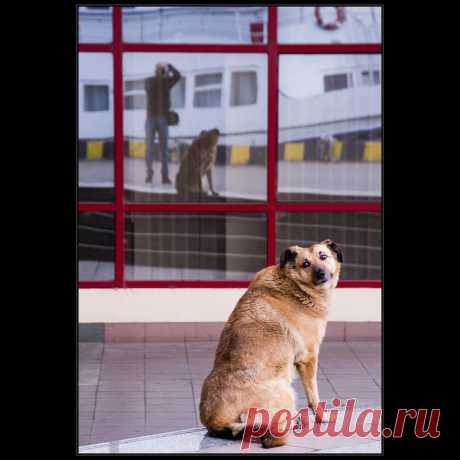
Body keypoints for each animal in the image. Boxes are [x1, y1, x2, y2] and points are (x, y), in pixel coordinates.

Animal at [199, 239, 344, 448]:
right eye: (305, 264)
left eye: (323, 256)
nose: (321, 274)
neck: (294, 284)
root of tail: (215, 422)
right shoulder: (308, 358)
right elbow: (313, 396)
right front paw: (322, 417)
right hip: (286, 390)